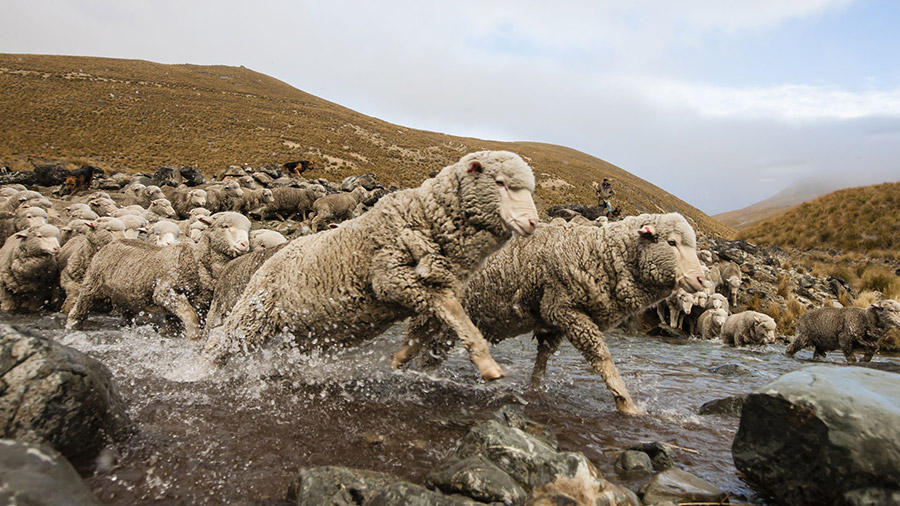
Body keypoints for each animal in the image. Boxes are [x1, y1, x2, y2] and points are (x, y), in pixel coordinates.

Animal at [66, 211, 251, 342]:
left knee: (126, 315)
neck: (197, 260)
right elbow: (190, 317)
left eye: (248, 229)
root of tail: (111, 242)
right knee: (80, 308)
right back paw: (71, 325)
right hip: (92, 284)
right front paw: (194, 339)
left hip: (125, 296)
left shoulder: (201, 304)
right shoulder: (165, 291)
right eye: (225, 226)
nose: (244, 244)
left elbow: (173, 324)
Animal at [205, 148, 536, 378]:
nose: (532, 222)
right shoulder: (393, 278)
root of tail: (270, 257)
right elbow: (455, 316)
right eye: (500, 182)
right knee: (220, 343)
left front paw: (401, 358)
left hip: (306, 331)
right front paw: (487, 364)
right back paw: (200, 372)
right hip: (253, 314)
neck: (426, 215)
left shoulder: (439, 285)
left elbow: (439, 322)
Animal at [390, 211, 708, 414]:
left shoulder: (553, 322)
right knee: (413, 339)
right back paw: (400, 366)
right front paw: (626, 404)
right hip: (431, 309)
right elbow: (602, 358)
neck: (600, 253)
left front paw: (534, 390)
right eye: (671, 242)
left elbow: (542, 361)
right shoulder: (565, 309)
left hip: (447, 324)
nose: (701, 280)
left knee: (431, 352)